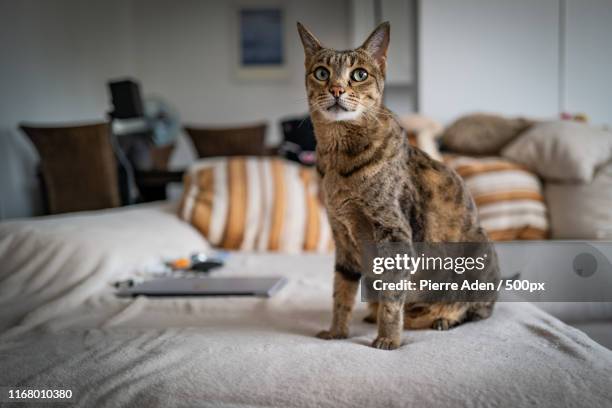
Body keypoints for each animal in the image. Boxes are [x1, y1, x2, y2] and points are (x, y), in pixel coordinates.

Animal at [298, 20, 500, 350]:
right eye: (322, 73)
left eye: (359, 74)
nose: (336, 89)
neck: (339, 162)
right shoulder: (342, 236)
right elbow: (341, 292)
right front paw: (337, 331)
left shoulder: (395, 233)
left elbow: (392, 297)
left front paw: (388, 339)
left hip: (479, 254)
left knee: (475, 310)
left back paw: (443, 318)